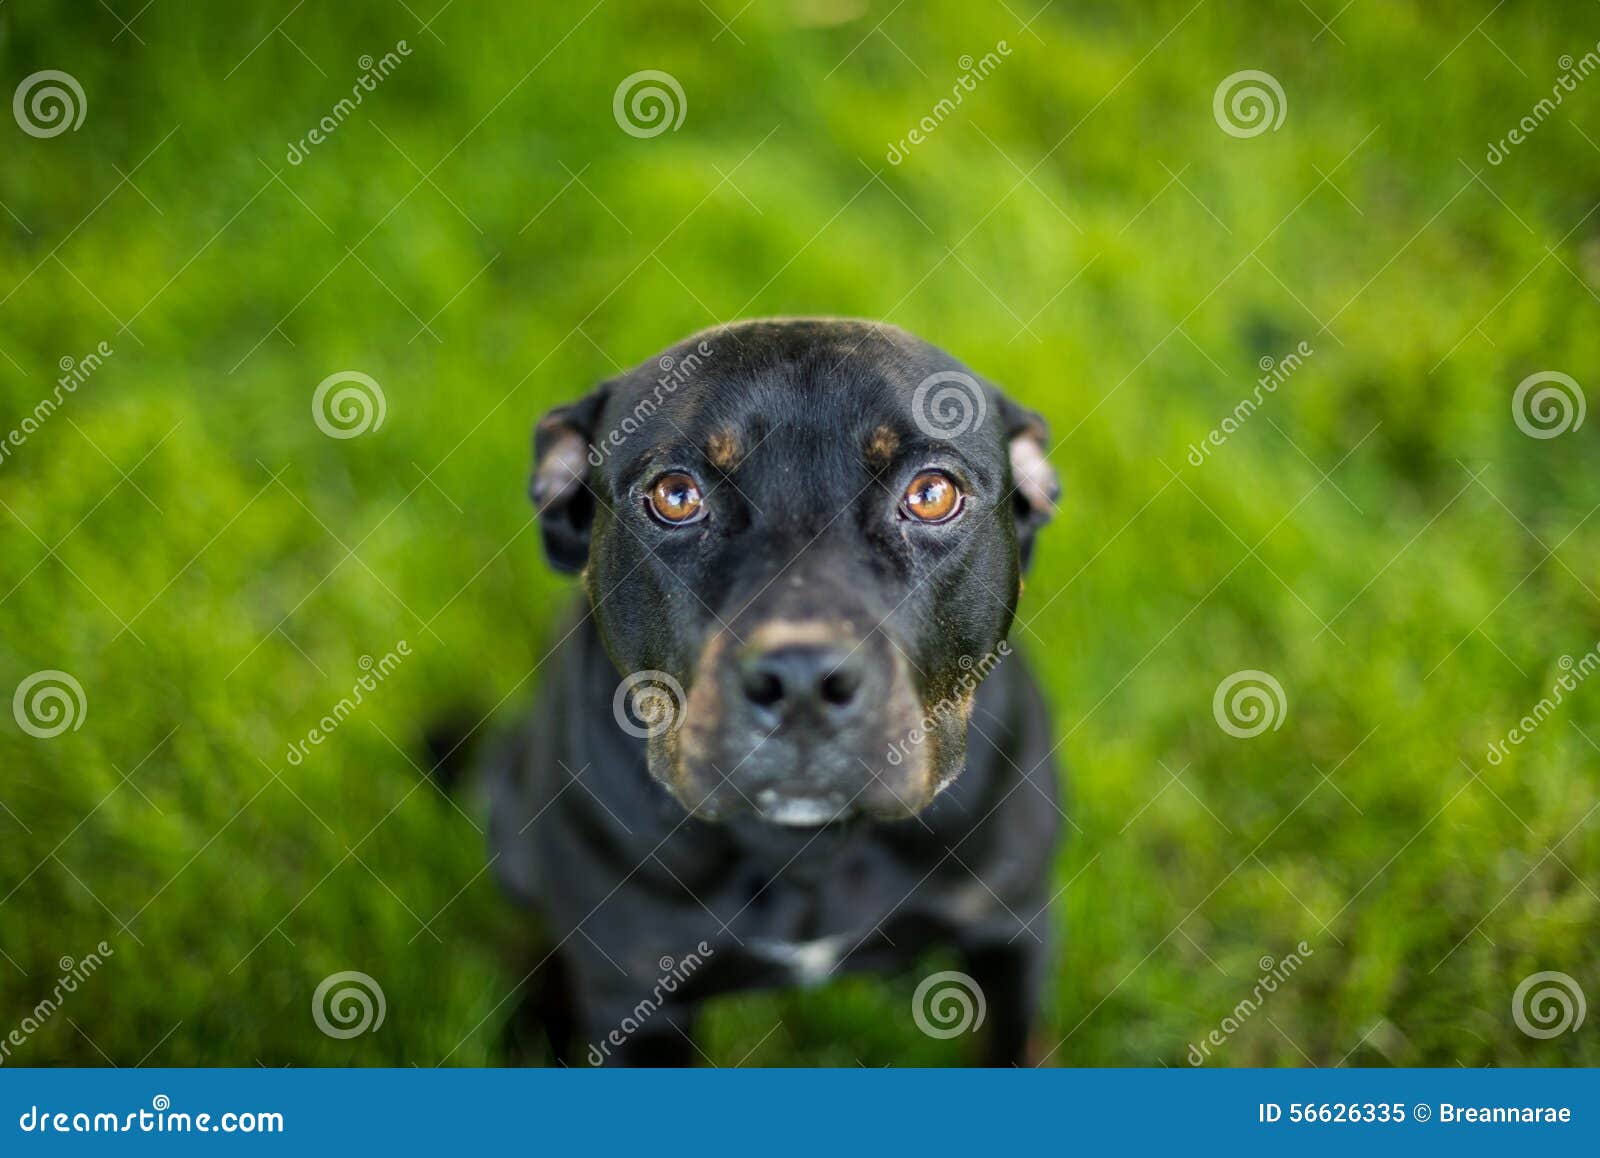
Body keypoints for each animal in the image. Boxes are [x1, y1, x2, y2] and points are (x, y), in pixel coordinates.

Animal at [486, 316, 1062, 1068]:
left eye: (932, 494)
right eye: (676, 496)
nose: (802, 683)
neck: (806, 849)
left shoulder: (1010, 929)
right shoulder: (635, 998)